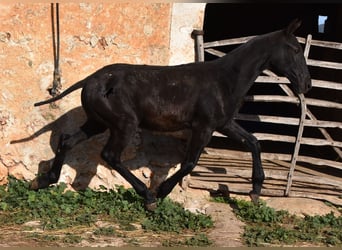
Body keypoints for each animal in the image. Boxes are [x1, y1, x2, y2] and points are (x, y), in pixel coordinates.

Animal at [30, 19, 312, 210]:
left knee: (67, 141)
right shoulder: (203, 127)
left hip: (97, 122)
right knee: (110, 155)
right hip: (124, 124)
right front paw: (162, 191)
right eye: (296, 49)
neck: (226, 80)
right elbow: (189, 163)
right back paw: (147, 197)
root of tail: (89, 80)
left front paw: (255, 190)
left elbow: (254, 142)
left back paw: (43, 181)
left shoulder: (224, 124)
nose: (307, 84)